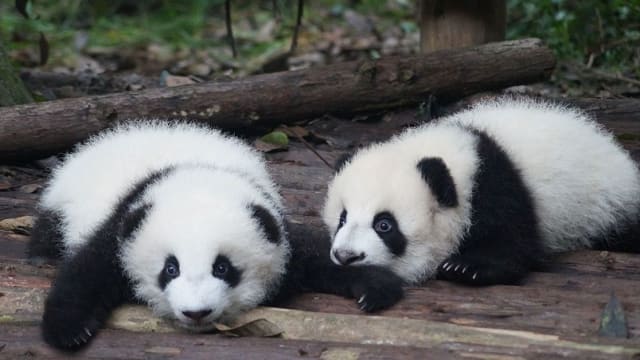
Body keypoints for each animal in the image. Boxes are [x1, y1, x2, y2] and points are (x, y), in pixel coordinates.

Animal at [30, 121, 400, 352]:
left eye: (223, 268)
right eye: (170, 269)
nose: (196, 313)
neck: (198, 174)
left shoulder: (272, 222)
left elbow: (317, 254)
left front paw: (373, 286)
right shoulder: (125, 222)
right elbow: (88, 270)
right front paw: (69, 330)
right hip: (61, 207)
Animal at [322, 97, 640, 288]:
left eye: (384, 225)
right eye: (342, 218)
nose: (346, 256)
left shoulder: (496, 186)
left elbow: (513, 243)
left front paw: (465, 268)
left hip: (609, 205)